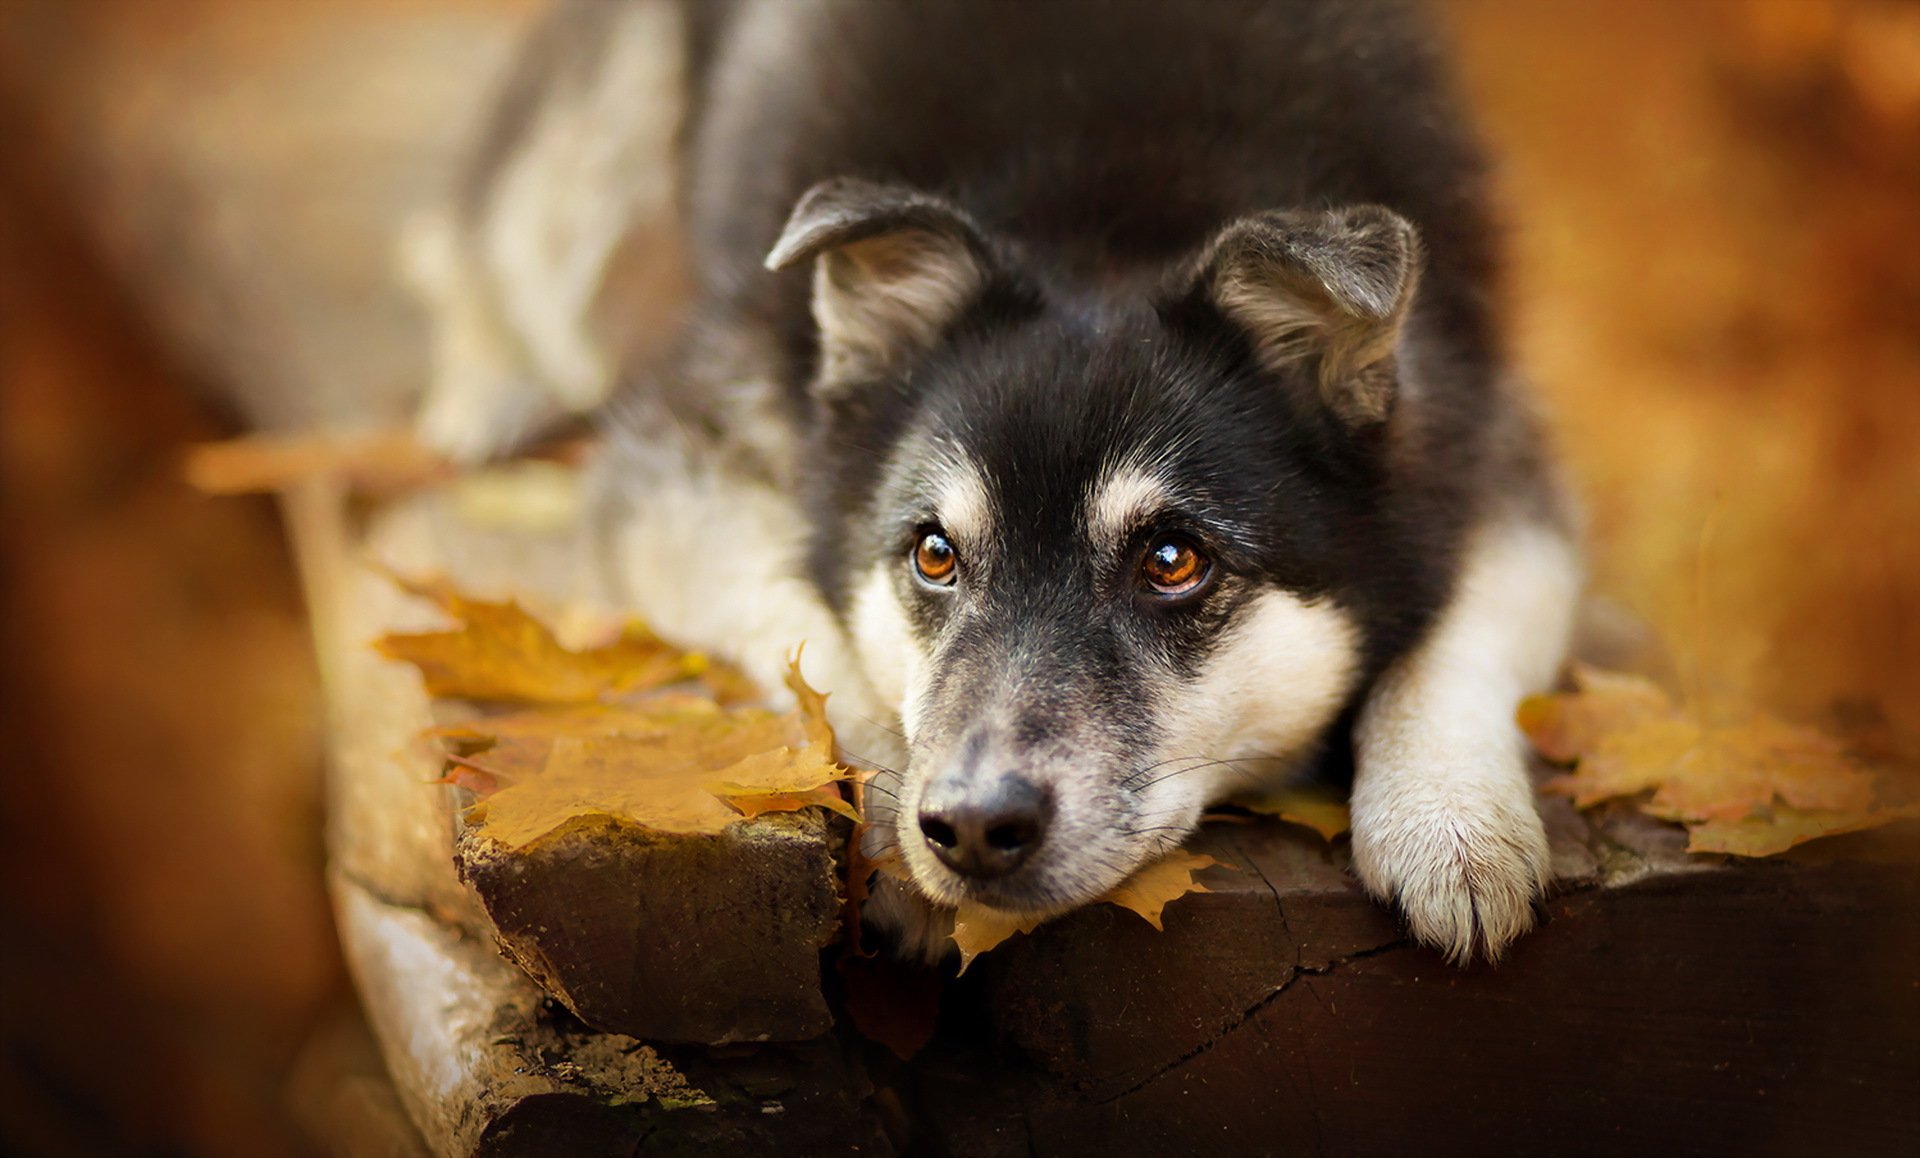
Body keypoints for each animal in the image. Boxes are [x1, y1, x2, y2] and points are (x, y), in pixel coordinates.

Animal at [416, 0, 1574, 964]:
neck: (1110, 223)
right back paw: (484, 392)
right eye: (934, 553)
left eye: (1172, 559)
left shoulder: (1495, 455)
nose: (972, 827)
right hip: (601, 146)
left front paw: (1450, 817)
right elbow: (819, 641)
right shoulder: (677, 465)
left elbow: (1454, 634)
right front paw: (892, 831)